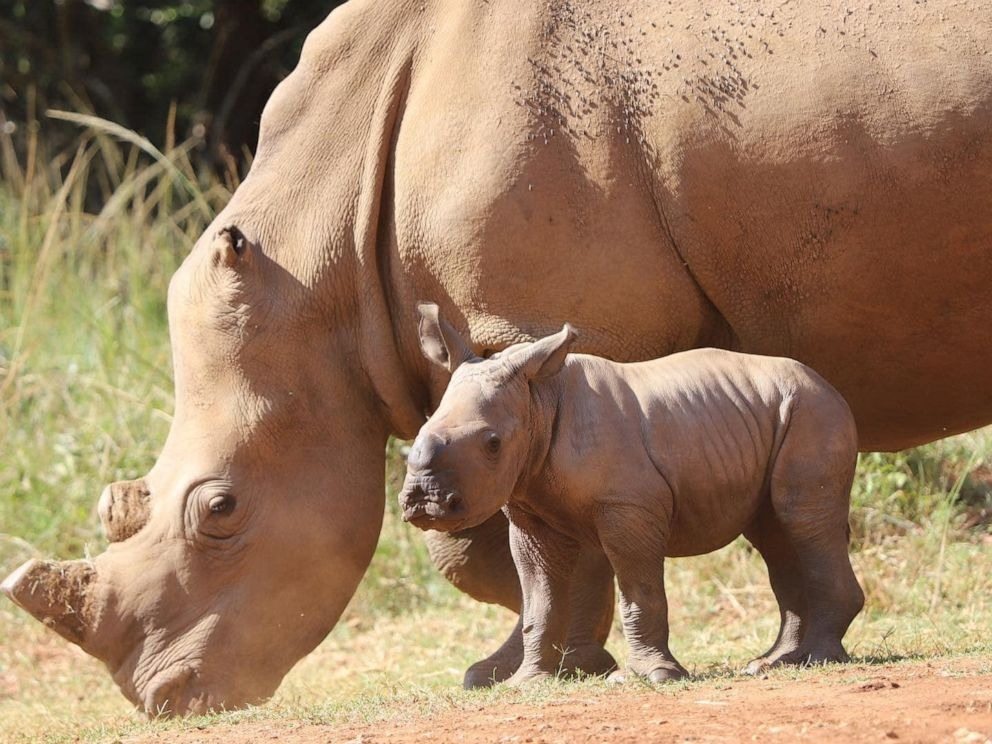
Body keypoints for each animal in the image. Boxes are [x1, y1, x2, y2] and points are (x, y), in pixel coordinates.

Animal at [400, 305, 863, 683]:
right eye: (421, 431)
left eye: (493, 444)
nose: (423, 502)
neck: (540, 400)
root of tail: (830, 386)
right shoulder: (529, 512)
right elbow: (539, 600)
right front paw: (527, 683)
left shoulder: (629, 508)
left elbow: (639, 590)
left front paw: (653, 677)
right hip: (776, 411)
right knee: (774, 533)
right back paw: (774, 663)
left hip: (813, 410)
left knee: (800, 518)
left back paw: (817, 659)